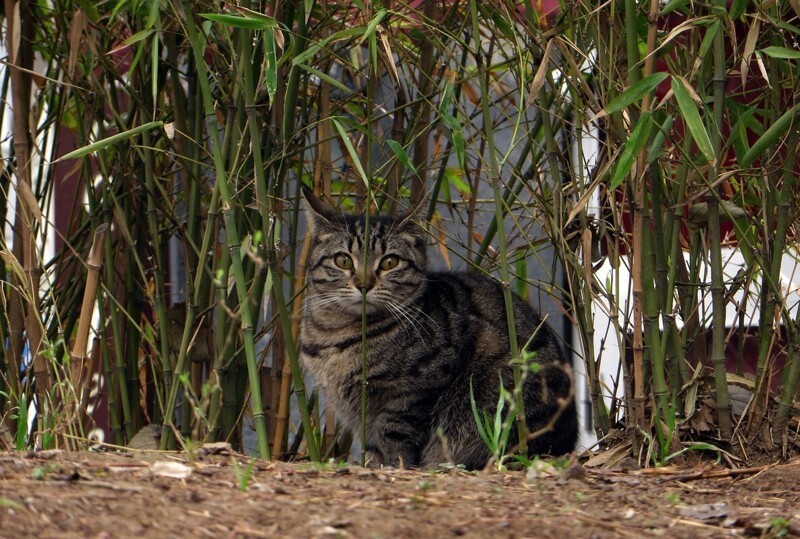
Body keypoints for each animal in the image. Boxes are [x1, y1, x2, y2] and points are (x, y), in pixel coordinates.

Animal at [298, 190, 576, 468]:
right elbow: (373, 441)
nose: (364, 284)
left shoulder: (417, 389)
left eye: (389, 262)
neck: (336, 333)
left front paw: (393, 465)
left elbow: (394, 434)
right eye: (343, 260)